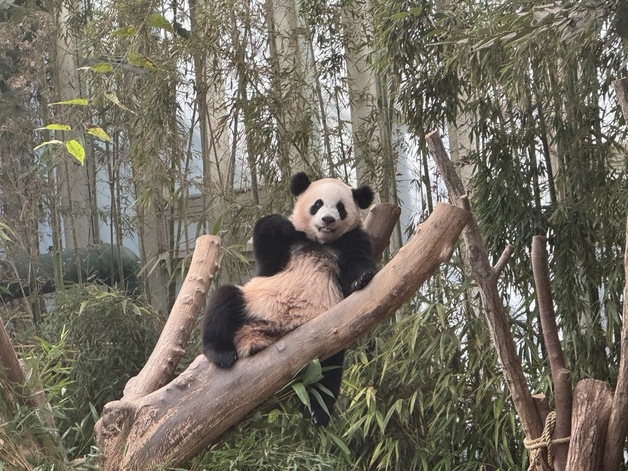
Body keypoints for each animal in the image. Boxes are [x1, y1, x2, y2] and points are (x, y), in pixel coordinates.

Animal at [204, 173, 376, 428]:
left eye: (340, 208)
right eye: (317, 204)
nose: (327, 219)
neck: (320, 243)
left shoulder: (352, 240)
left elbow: (358, 262)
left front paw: (362, 279)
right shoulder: (285, 250)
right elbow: (268, 257)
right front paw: (279, 221)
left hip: (326, 340)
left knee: (327, 372)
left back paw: (318, 414)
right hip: (252, 304)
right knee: (223, 301)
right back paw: (221, 354)